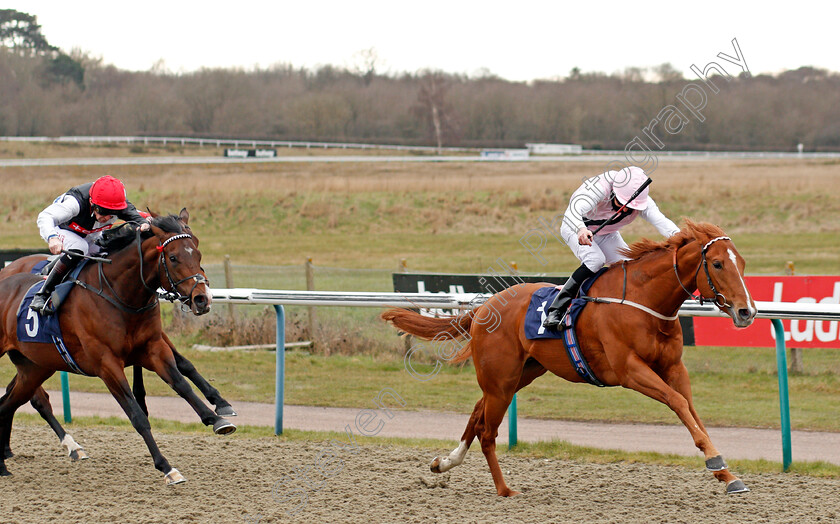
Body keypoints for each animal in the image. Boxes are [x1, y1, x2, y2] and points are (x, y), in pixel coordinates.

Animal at [0, 213, 230, 484]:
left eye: (198, 253)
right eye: (173, 258)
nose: (202, 299)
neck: (120, 295)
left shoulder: (152, 348)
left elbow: (182, 382)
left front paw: (217, 416)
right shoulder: (107, 364)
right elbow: (137, 415)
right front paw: (166, 467)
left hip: (35, 366)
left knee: (12, 402)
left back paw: (7, 461)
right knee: (31, 401)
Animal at [384, 220, 756, 496]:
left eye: (742, 263)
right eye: (717, 263)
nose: (747, 312)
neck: (643, 301)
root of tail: (484, 307)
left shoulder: (673, 367)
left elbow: (691, 410)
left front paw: (727, 475)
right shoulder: (630, 371)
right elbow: (678, 403)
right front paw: (715, 460)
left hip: (520, 374)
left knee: (477, 415)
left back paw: (444, 463)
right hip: (501, 380)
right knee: (487, 432)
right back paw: (504, 489)